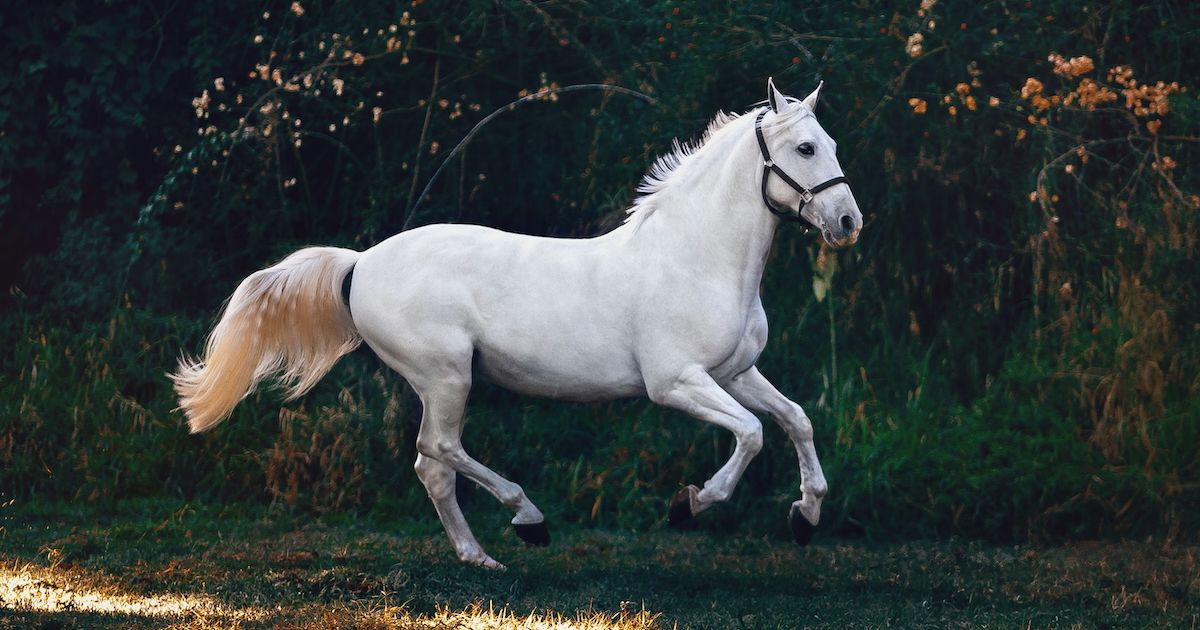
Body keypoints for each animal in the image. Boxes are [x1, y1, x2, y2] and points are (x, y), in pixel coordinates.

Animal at [173, 78, 862, 569]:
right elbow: (751, 434)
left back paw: (480, 557)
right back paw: (527, 520)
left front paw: (805, 516)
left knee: (432, 466)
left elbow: (795, 419)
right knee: (439, 451)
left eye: (831, 145)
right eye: (805, 148)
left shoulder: (736, 372)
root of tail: (361, 262)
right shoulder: (677, 383)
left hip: (443, 382)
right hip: (446, 376)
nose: (848, 222)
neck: (696, 258)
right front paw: (689, 505)